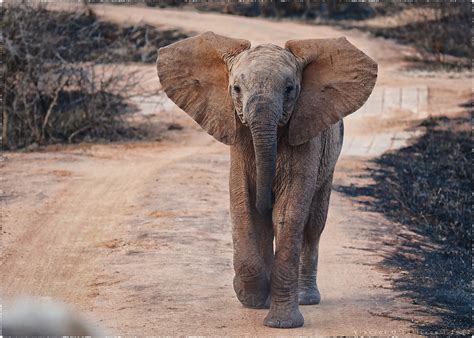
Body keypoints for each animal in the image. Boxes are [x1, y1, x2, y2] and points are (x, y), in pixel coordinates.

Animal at [157, 31, 376, 328]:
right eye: (236, 89)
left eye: (290, 89)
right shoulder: (239, 139)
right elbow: (244, 206)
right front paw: (250, 297)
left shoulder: (305, 136)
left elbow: (286, 215)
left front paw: (282, 323)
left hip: (330, 161)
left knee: (313, 226)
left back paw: (306, 298)